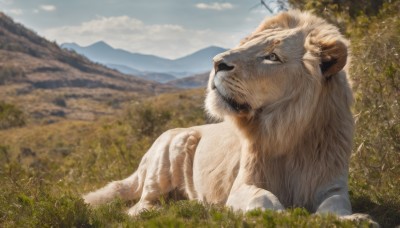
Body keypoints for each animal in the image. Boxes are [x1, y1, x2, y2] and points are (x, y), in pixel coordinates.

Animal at [83, 10, 376, 224]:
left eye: (272, 56)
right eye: (249, 44)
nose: (216, 63)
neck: (288, 130)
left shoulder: (331, 184)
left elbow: (336, 205)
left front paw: (354, 220)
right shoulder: (242, 185)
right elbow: (263, 198)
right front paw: (283, 216)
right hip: (172, 147)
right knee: (142, 203)